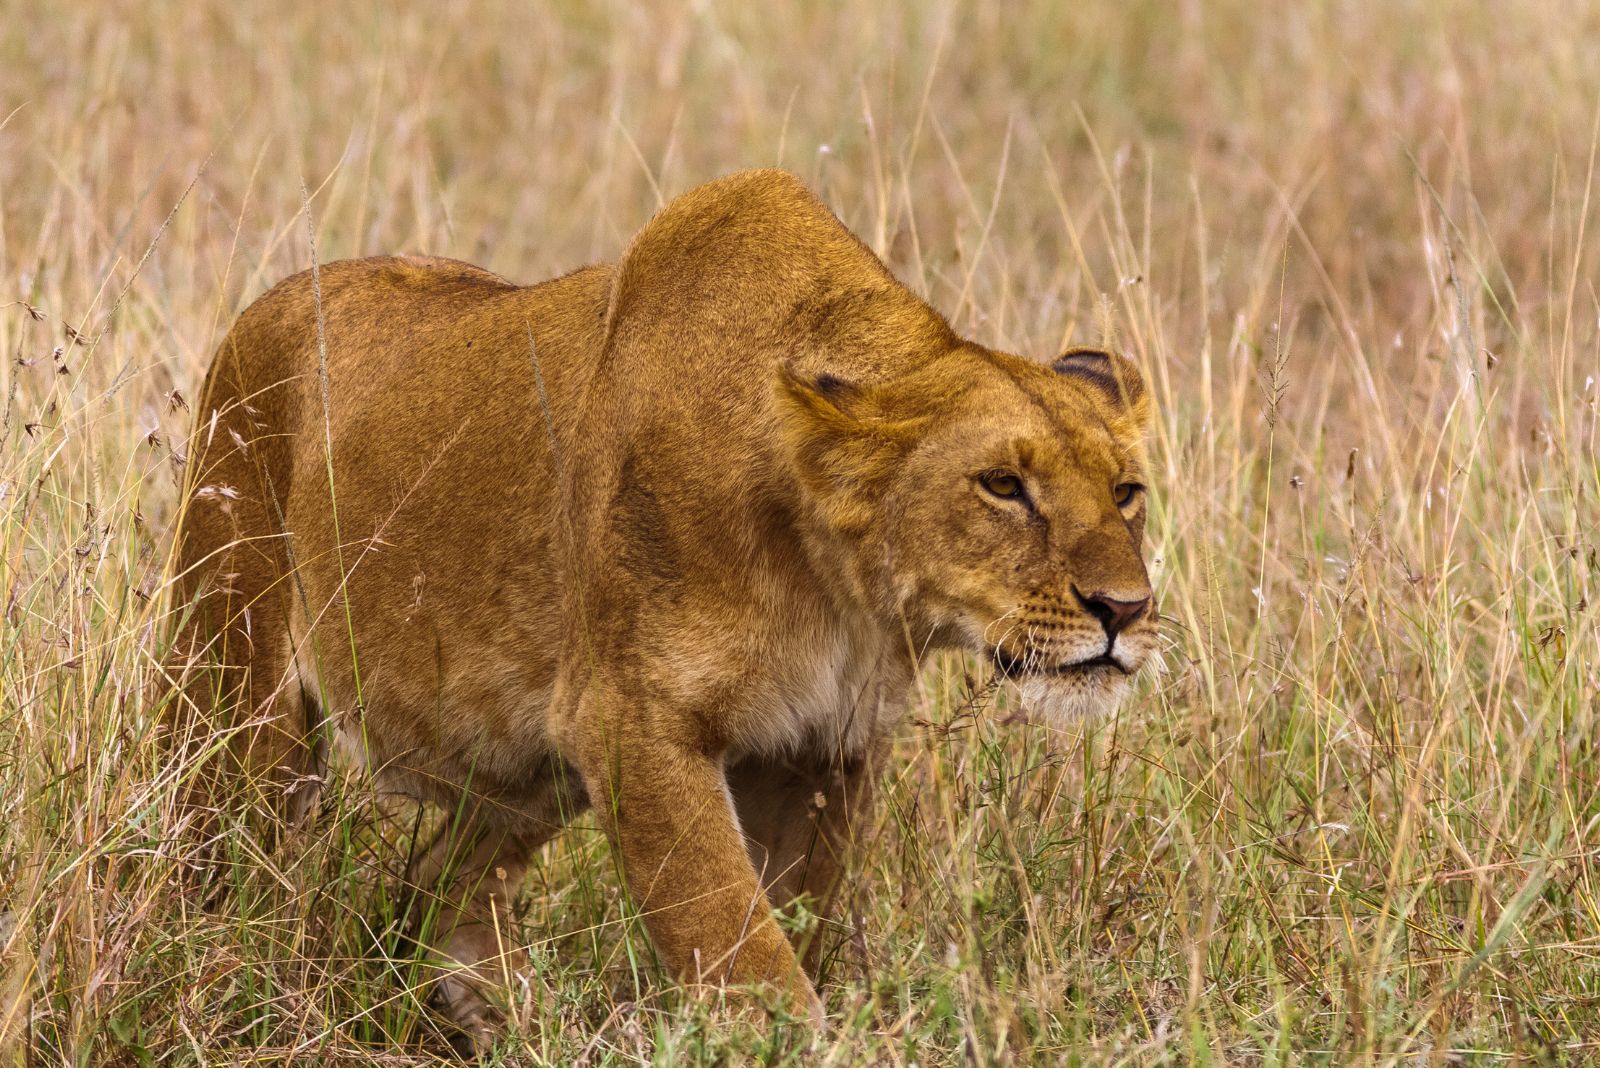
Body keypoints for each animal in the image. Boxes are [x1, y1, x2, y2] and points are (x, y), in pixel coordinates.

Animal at [172, 171, 1152, 1048]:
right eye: (1003, 486)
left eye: (1127, 492)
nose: (1126, 608)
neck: (843, 590)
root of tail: (271, 301)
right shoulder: (632, 721)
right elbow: (739, 946)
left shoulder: (822, 748)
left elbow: (794, 922)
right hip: (238, 697)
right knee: (216, 868)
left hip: (532, 768)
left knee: (431, 892)